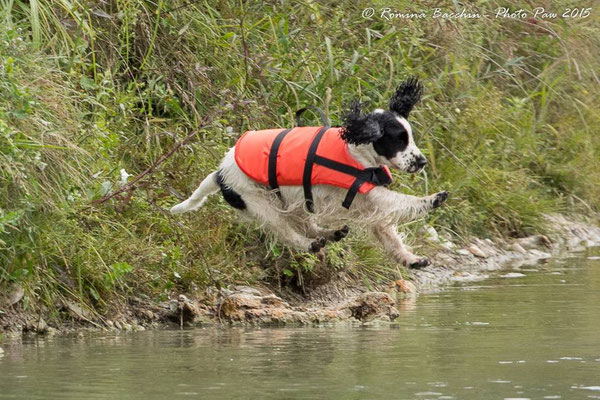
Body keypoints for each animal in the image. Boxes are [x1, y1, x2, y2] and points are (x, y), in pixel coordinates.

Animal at [171, 77, 448, 268]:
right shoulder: (367, 195)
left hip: (291, 201)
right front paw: (431, 199)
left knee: (306, 224)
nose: (422, 162)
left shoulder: (366, 203)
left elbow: (389, 235)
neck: (356, 152)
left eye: (410, 137)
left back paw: (330, 233)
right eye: (398, 140)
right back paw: (310, 244)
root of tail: (219, 172)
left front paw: (410, 259)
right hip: (262, 203)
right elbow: (401, 201)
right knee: (286, 232)